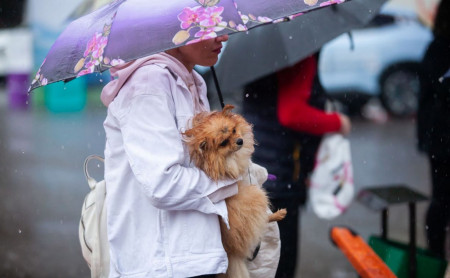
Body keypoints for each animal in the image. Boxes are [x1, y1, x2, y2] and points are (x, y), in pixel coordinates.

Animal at [182, 105, 284, 278]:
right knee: (263, 220)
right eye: (223, 142)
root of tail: (229, 251)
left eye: (234, 130)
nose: (240, 141)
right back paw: (277, 215)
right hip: (256, 195)